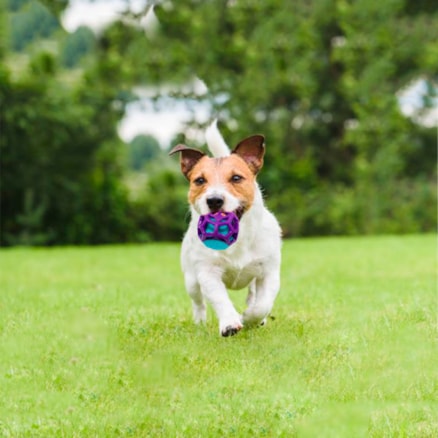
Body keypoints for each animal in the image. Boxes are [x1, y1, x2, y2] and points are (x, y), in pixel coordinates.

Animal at [169, 121, 282, 338]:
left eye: (236, 178)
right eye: (199, 181)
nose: (214, 200)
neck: (239, 239)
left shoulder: (269, 272)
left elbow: (262, 304)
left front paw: (250, 318)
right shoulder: (207, 273)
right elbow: (220, 299)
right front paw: (230, 323)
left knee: (253, 295)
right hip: (191, 279)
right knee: (198, 302)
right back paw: (200, 322)